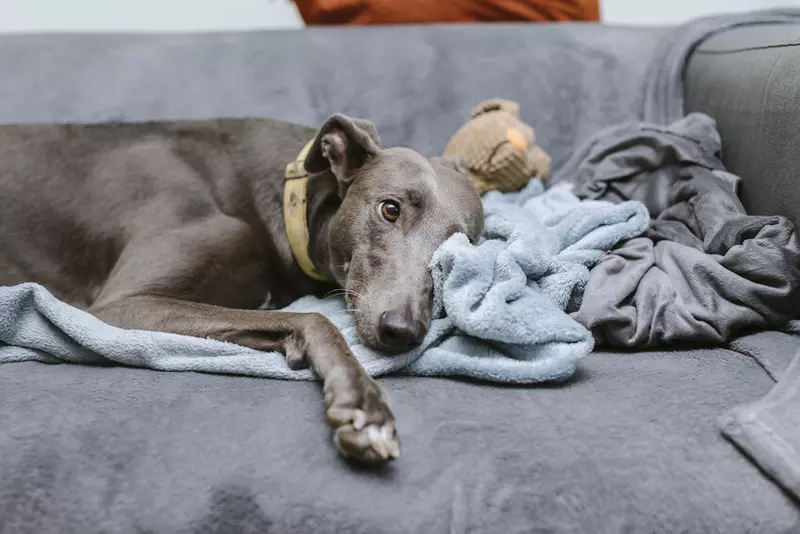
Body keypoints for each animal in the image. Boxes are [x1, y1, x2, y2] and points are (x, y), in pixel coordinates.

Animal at [0, 114, 482, 464]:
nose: (402, 331)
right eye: (390, 209)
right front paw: (362, 403)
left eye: (461, 247)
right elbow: (315, 318)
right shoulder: (119, 308)